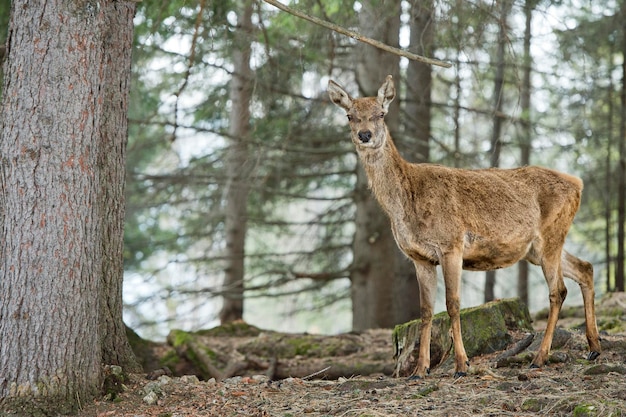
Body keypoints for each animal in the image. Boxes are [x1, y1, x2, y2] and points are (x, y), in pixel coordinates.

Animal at [326, 74, 600, 376]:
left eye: (381, 113)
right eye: (350, 116)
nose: (365, 135)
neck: (405, 205)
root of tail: (578, 184)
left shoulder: (451, 244)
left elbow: (453, 304)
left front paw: (461, 364)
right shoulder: (419, 257)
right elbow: (425, 310)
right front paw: (420, 370)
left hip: (551, 234)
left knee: (557, 291)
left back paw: (540, 356)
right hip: (537, 248)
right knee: (585, 268)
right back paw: (593, 348)